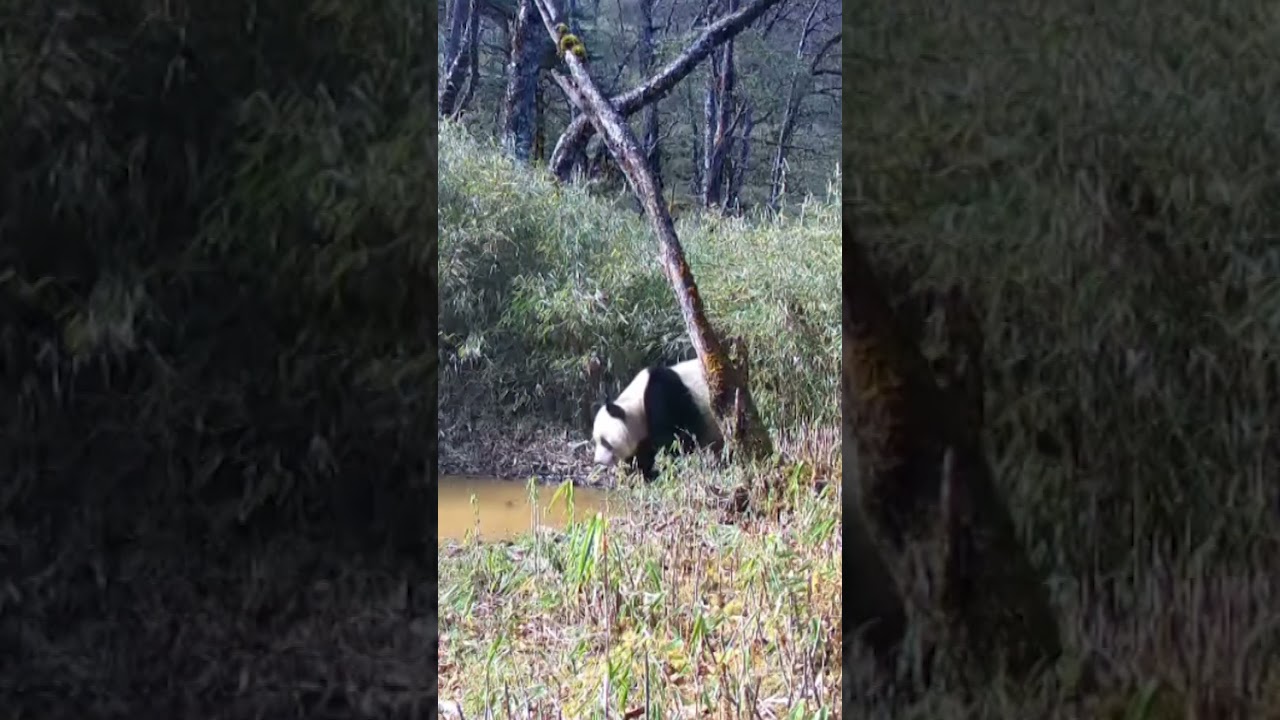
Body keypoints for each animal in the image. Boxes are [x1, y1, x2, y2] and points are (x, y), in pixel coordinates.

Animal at [591, 358, 724, 480]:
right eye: (596, 440)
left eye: (605, 442)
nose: (598, 461)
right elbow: (643, 453)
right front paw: (639, 474)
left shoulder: (664, 396)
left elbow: (677, 440)